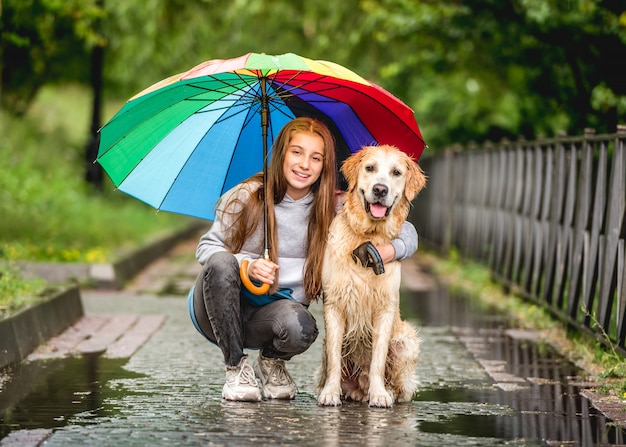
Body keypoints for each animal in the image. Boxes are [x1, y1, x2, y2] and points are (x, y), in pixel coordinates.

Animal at [314, 145, 426, 408]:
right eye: (370, 168)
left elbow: (377, 359)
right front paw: (330, 393)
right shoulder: (334, 304)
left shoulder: (384, 308)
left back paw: (381, 393)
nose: (380, 189)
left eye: (396, 172)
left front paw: (379, 395)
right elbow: (335, 357)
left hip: (406, 341)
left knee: (401, 389)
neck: (367, 236)